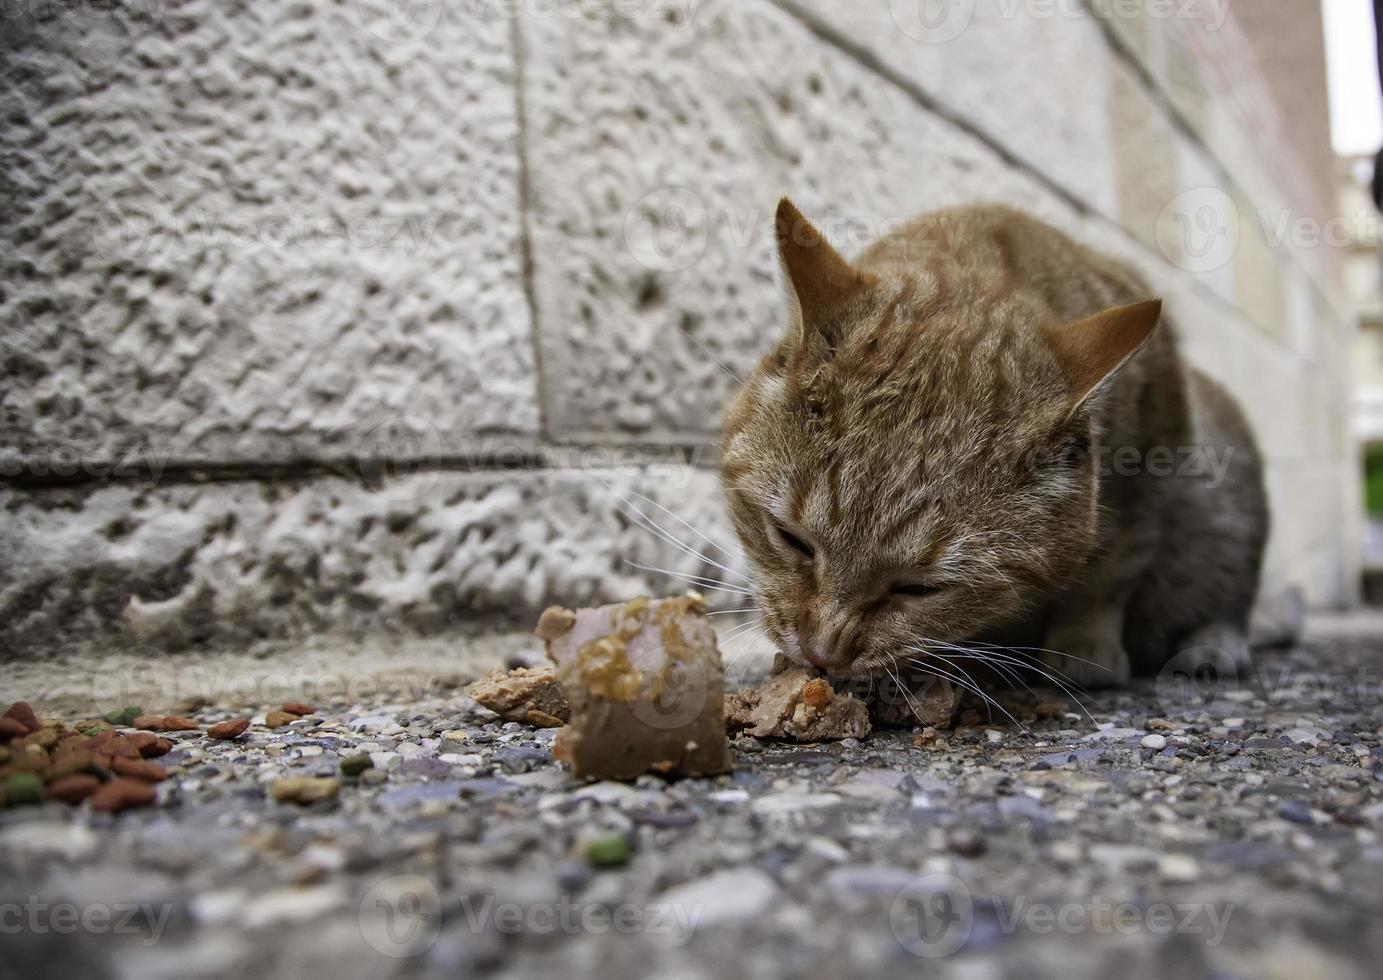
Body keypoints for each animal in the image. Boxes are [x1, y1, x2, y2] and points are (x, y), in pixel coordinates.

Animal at [719, 199, 1266, 688]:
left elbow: (1111, 566)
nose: (823, 654)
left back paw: (1213, 645)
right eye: (791, 539)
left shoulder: (1155, 456)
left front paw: (1085, 645)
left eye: (919, 588)